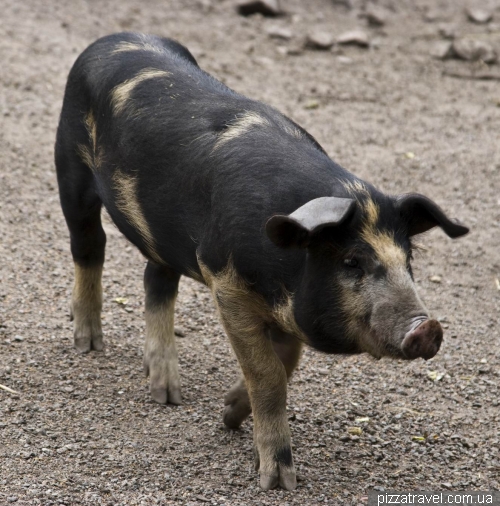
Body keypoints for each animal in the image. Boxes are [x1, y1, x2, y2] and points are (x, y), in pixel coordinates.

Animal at [55, 31, 468, 490]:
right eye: (350, 261)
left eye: (408, 258)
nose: (428, 327)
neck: (283, 279)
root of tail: (113, 38)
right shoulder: (225, 283)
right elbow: (269, 374)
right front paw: (278, 481)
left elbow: (285, 362)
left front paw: (229, 414)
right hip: (69, 166)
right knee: (89, 245)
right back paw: (89, 344)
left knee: (156, 278)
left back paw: (167, 394)